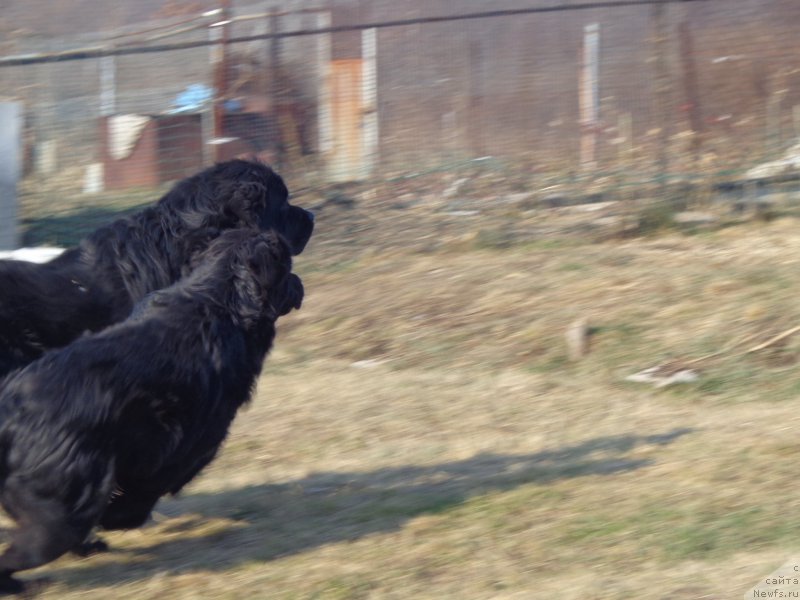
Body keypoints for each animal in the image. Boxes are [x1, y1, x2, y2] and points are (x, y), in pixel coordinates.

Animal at [0, 230, 304, 596]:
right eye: (287, 265)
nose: (301, 283)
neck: (220, 298)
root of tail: (8, 414)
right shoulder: (191, 439)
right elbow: (155, 484)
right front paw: (119, 516)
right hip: (60, 512)